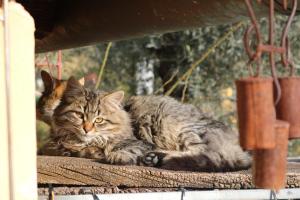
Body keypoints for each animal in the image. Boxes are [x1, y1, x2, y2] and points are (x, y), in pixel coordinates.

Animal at [37, 70, 251, 172]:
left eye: (99, 120)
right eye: (80, 115)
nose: (87, 128)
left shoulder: (137, 141)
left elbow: (119, 148)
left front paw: (114, 155)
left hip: (183, 129)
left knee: (213, 157)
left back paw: (158, 158)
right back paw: (154, 158)